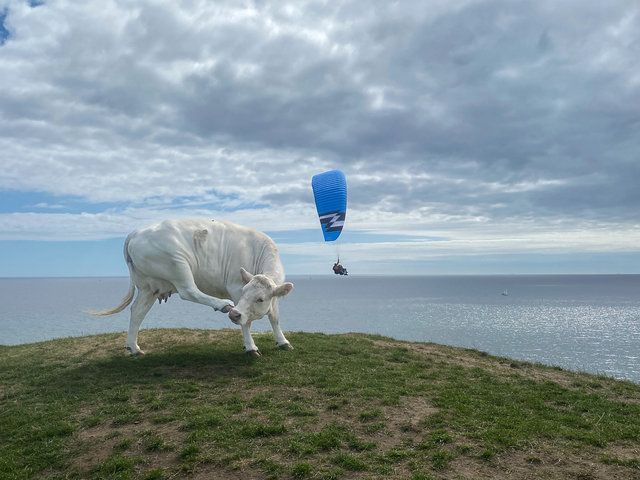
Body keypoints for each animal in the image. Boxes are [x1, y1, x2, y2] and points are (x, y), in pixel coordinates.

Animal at [86, 218, 294, 357]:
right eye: (244, 292)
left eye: (260, 298)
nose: (234, 314)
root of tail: (136, 232)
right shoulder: (235, 286)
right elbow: (246, 321)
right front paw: (251, 347)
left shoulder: (272, 297)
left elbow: (274, 317)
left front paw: (283, 341)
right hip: (178, 263)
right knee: (188, 291)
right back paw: (222, 304)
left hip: (149, 286)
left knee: (137, 311)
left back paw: (134, 348)